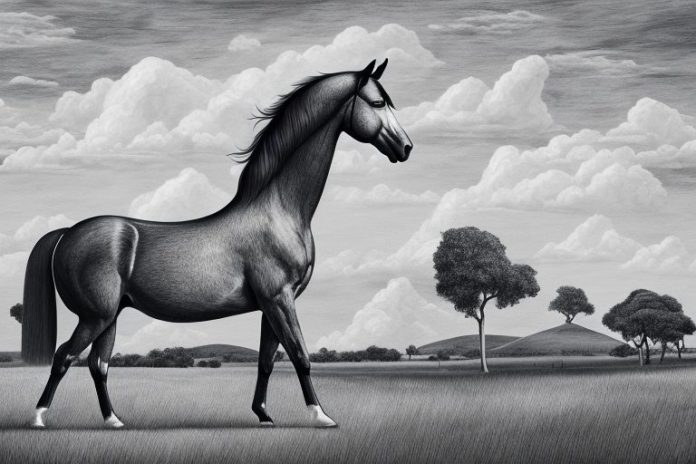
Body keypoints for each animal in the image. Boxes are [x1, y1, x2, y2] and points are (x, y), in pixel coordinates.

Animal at [22, 58, 413, 428]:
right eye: (378, 103)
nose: (406, 147)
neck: (277, 211)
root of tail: (68, 232)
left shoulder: (271, 305)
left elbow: (267, 361)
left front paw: (263, 414)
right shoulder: (279, 298)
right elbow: (300, 356)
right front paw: (321, 416)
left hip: (110, 315)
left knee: (98, 364)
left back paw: (113, 420)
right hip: (95, 316)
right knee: (64, 357)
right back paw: (38, 417)